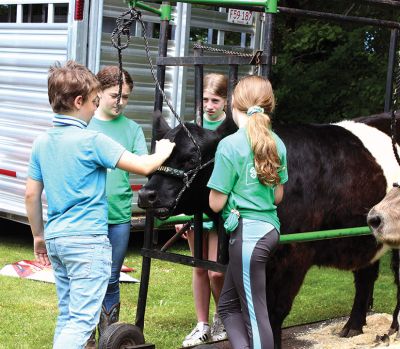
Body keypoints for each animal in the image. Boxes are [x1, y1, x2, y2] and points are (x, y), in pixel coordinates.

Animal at [138, 112, 400, 348]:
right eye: (155, 155)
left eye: (192, 158)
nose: (146, 195)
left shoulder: (293, 255)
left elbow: (274, 310)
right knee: (366, 275)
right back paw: (353, 326)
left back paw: (392, 328)